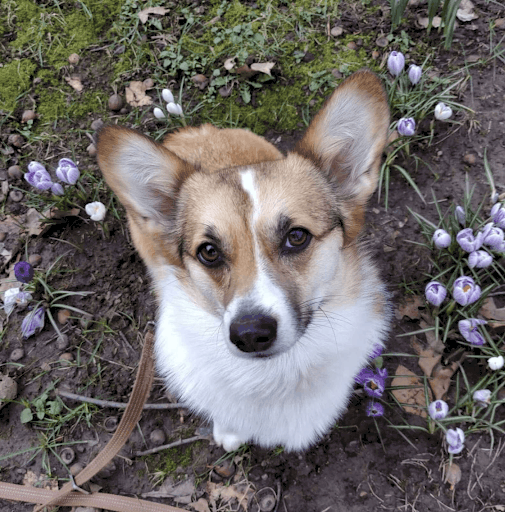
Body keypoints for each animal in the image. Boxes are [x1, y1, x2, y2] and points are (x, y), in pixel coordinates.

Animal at [97, 69, 390, 452]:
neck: (277, 374)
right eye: (209, 252)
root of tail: (187, 131)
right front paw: (230, 432)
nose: (250, 335)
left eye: (297, 236)